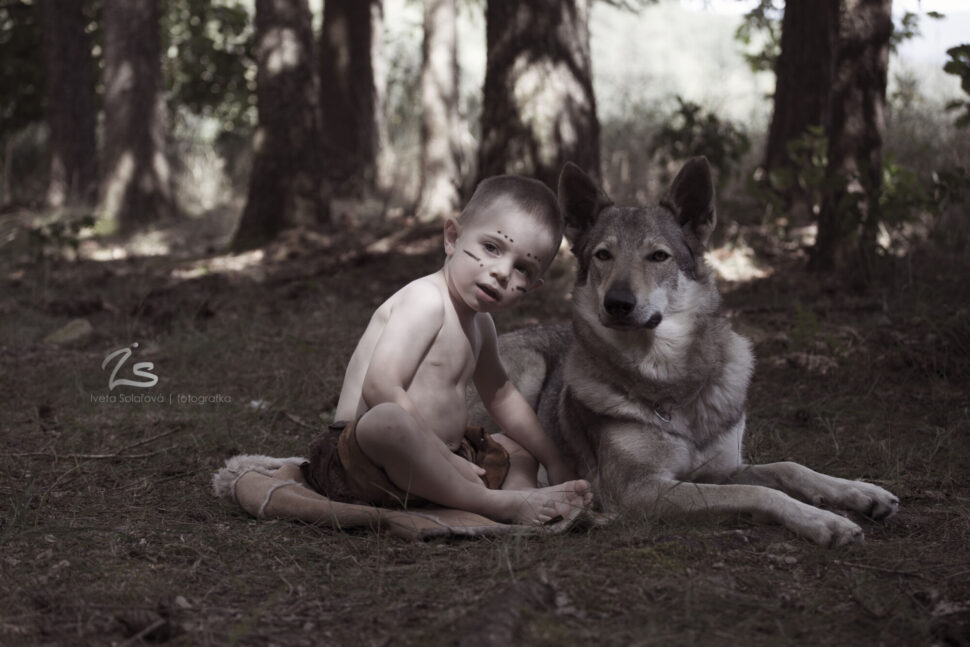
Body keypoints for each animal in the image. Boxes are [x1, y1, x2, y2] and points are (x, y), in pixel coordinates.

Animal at [468, 159, 892, 544]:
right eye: (603, 255)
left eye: (659, 256)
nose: (617, 303)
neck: (671, 385)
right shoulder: (639, 490)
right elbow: (757, 491)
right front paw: (822, 520)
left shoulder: (721, 468)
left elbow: (790, 467)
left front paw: (861, 491)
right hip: (525, 371)